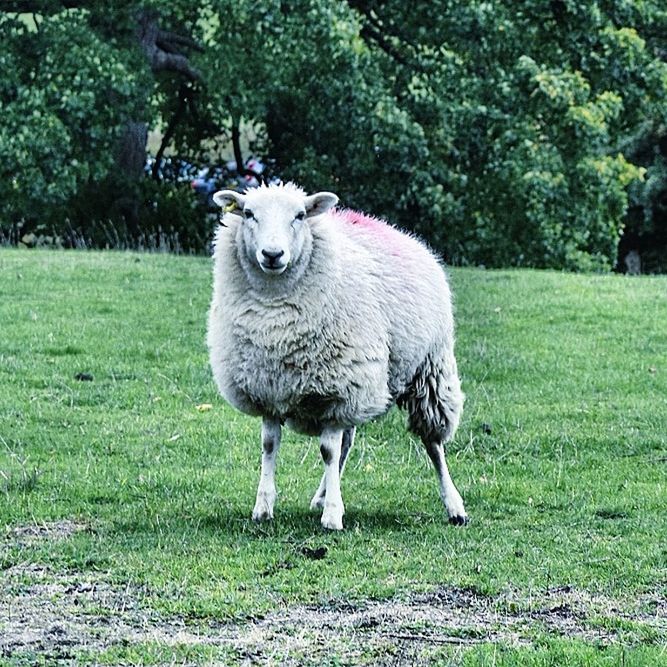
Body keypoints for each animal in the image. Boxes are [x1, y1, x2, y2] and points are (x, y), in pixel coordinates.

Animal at [206, 183, 468, 532]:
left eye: (299, 216)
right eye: (249, 214)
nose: (272, 255)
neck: (276, 314)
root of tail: (388, 227)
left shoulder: (337, 389)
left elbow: (327, 451)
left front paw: (332, 515)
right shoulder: (270, 390)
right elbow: (270, 445)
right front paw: (264, 507)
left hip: (428, 374)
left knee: (433, 444)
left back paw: (454, 506)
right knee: (348, 441)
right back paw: (321, 495)